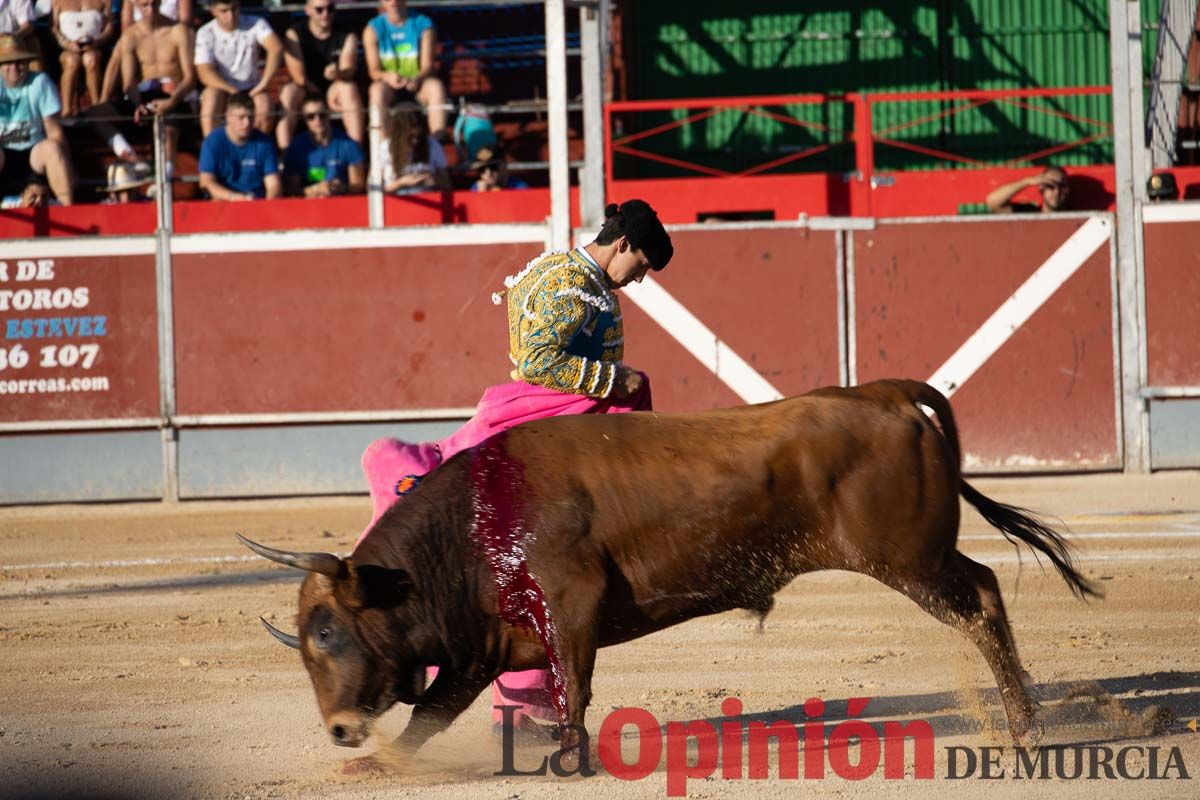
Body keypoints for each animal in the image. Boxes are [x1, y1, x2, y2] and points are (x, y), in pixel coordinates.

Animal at [241, 379, 1099, 767]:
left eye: (327, 632)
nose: (339, 728)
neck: (472, 527)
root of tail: (879, 392)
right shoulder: (483, 646)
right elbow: (432, 716)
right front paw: (378, 764)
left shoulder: (571, 605)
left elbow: (574, 684)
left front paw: (569, 760)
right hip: (917, 558)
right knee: (985, 590)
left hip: (909, 560)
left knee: (981, 600)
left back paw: (1026, 730)